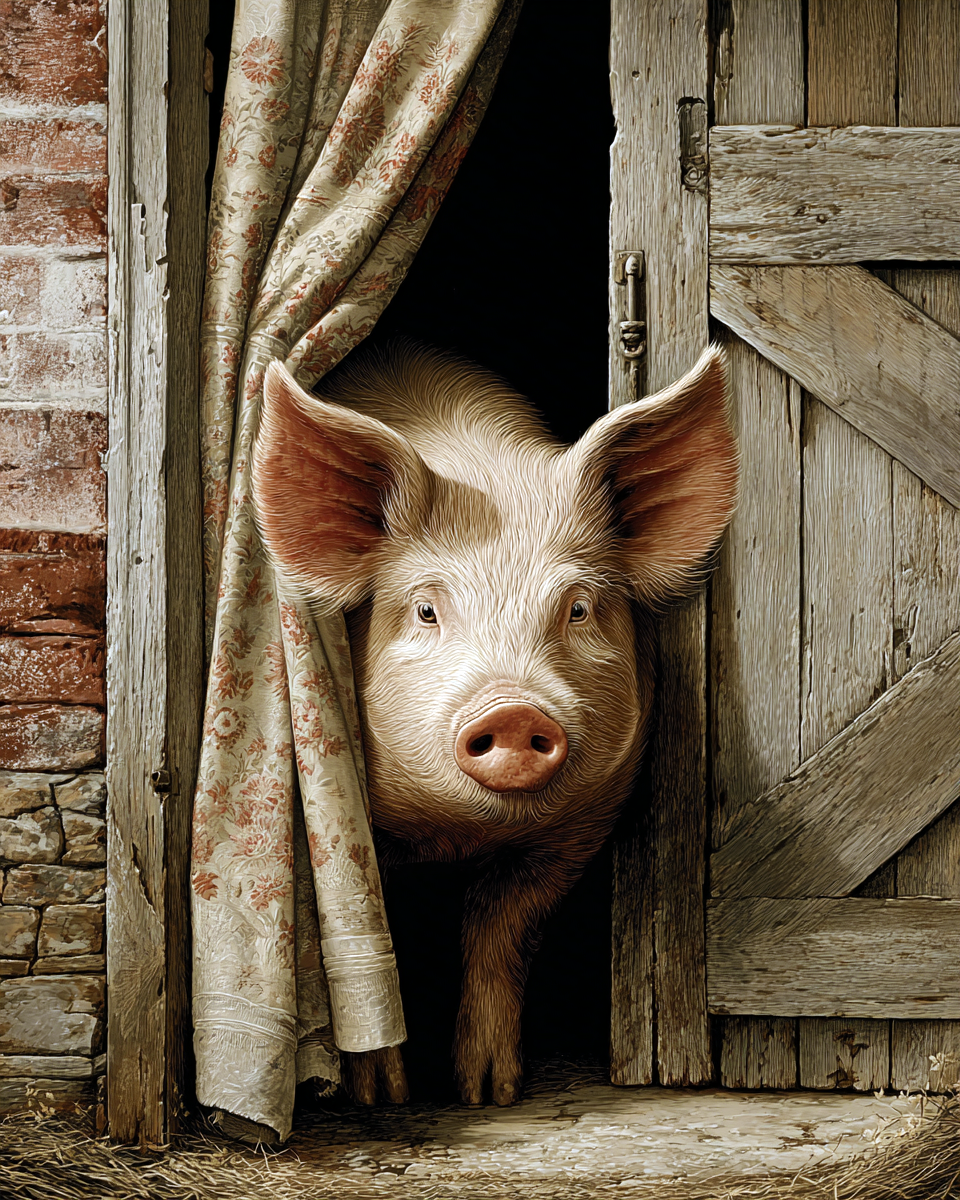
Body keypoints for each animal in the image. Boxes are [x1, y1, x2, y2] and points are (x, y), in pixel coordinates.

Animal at [252, 342, 737, 1108]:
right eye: (426, 610)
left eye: (578, 608)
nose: (513, 710)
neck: (453, 838)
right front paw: (383, 1096)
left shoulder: (584, 824)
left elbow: (505, 928)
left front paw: (490, 1092)